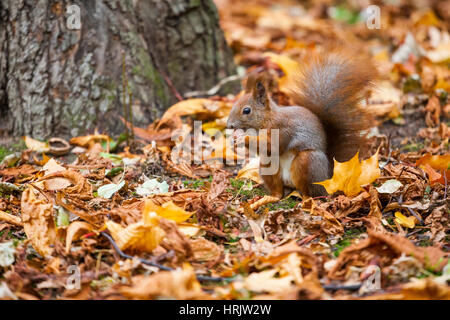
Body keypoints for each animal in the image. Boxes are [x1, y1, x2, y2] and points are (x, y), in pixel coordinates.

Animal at [227, 50, 378, 210]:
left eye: (246, 110)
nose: (229, 125)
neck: (267, 119)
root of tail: (328, 177)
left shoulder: (283, 128)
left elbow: (272, 146)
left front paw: (242, 138)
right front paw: (233, 139)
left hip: (308, 163)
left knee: (309, 191)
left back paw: (306, 201)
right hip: (268, 166)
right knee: (278, 192)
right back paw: (268, 198)